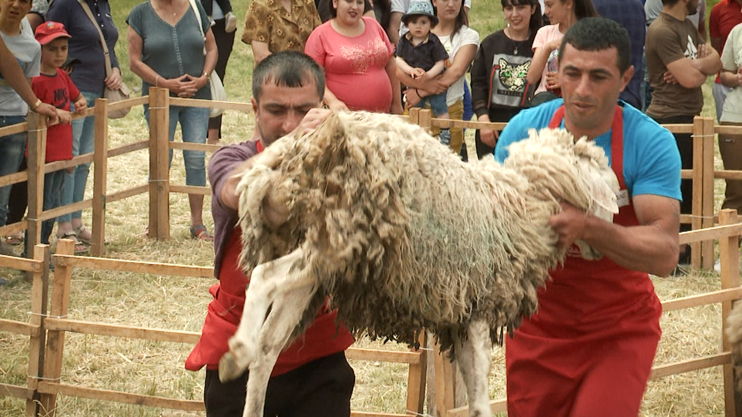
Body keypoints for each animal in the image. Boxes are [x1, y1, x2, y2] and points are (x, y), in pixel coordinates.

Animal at [219, 110, 620, 416]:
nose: (603, 245)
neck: (517, 202)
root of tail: (285, 158)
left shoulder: (459, 321)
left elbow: (474, 401)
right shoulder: (478, 306)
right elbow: (480, 397)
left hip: (319, 255)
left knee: (269, 345)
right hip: (341, 238)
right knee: (264, 277)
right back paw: (235, 354)